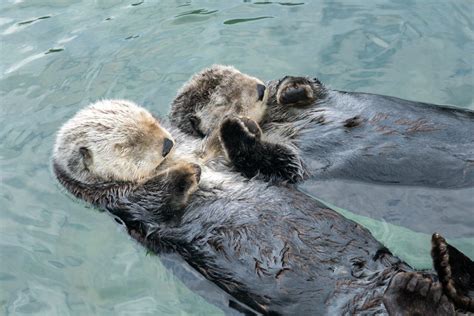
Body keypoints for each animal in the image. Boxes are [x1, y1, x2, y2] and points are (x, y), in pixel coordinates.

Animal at [53, 100, 472, 314]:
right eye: (126, 143)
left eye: (151, 121)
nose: (168, 144)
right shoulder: (127, 205)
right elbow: (158, 204)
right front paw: (186, 172)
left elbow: (279, 164)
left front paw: (233, 127)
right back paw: (420, 286)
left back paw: (440, 269)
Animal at [170, 66, 474, 239]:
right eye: (226, 99)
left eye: (239, 76)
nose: (259, 88)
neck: (273, 120)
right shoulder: (281, 164)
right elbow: (278, 161)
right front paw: (232, 127)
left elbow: (313, 86)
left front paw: (289, 88)